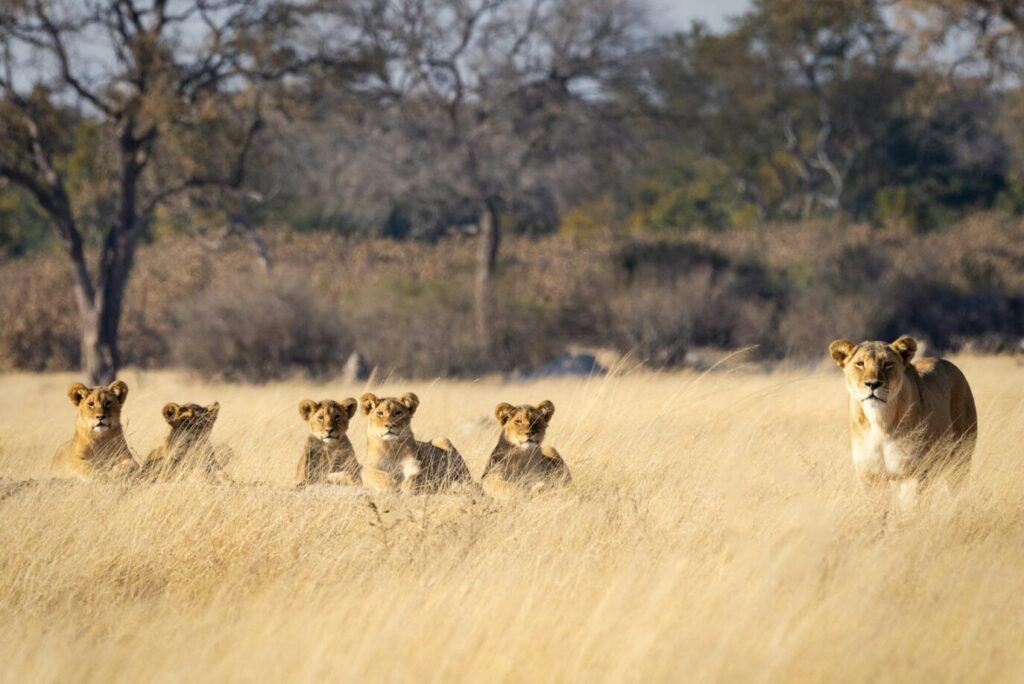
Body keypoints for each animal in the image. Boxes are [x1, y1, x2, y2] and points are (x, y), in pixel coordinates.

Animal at [829, 335, 977, 508]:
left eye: (888, 364)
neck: (879, 422)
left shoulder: (911, 474)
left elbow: (910, 509)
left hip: (961, 459)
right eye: (860, 363)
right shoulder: (871, 477)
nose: (873, 384)